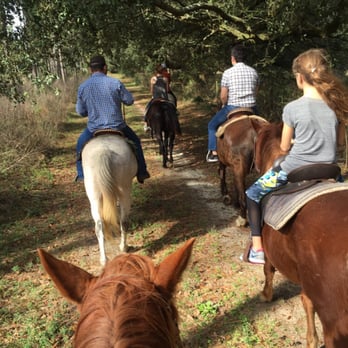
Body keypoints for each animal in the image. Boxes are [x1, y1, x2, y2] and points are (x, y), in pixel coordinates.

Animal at [82, 135, 137, 266]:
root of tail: (104, 152)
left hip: (94, 196)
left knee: (99, 226)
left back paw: (104, 259)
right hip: (125, 190)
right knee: (124, 221)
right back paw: (123, 247)